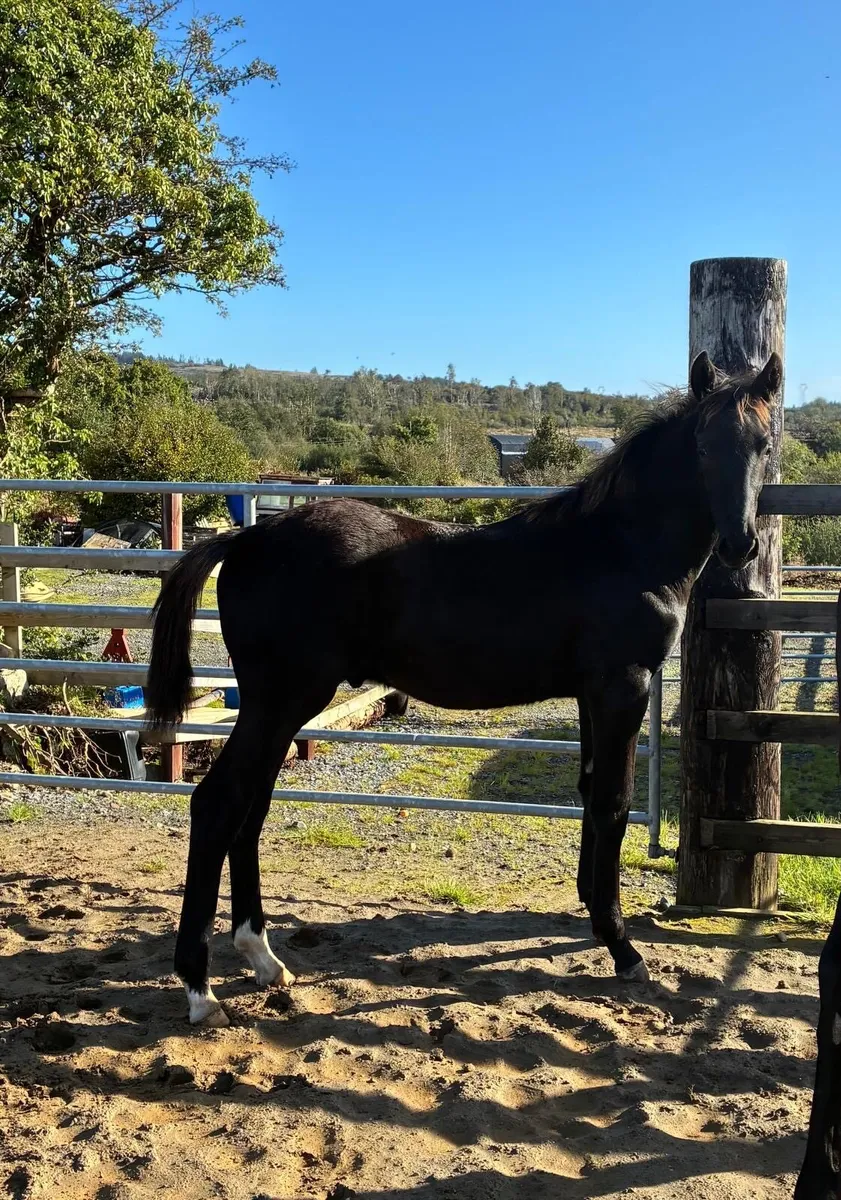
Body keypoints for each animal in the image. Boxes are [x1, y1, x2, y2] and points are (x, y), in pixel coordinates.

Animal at [146, 350, 783, 1027]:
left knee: (251, 809)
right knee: (217, 806)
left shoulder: (593, 695)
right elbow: (612, 803)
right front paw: (623, 950)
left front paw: (594, 916)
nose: (741, 544)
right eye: (703, 445)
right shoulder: (623, 688)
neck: (620, 548)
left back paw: (263, 959)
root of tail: (247, 537)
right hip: (280, 702)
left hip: (280, 710)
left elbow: (590, 796)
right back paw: (200, 990)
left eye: (765, 444)